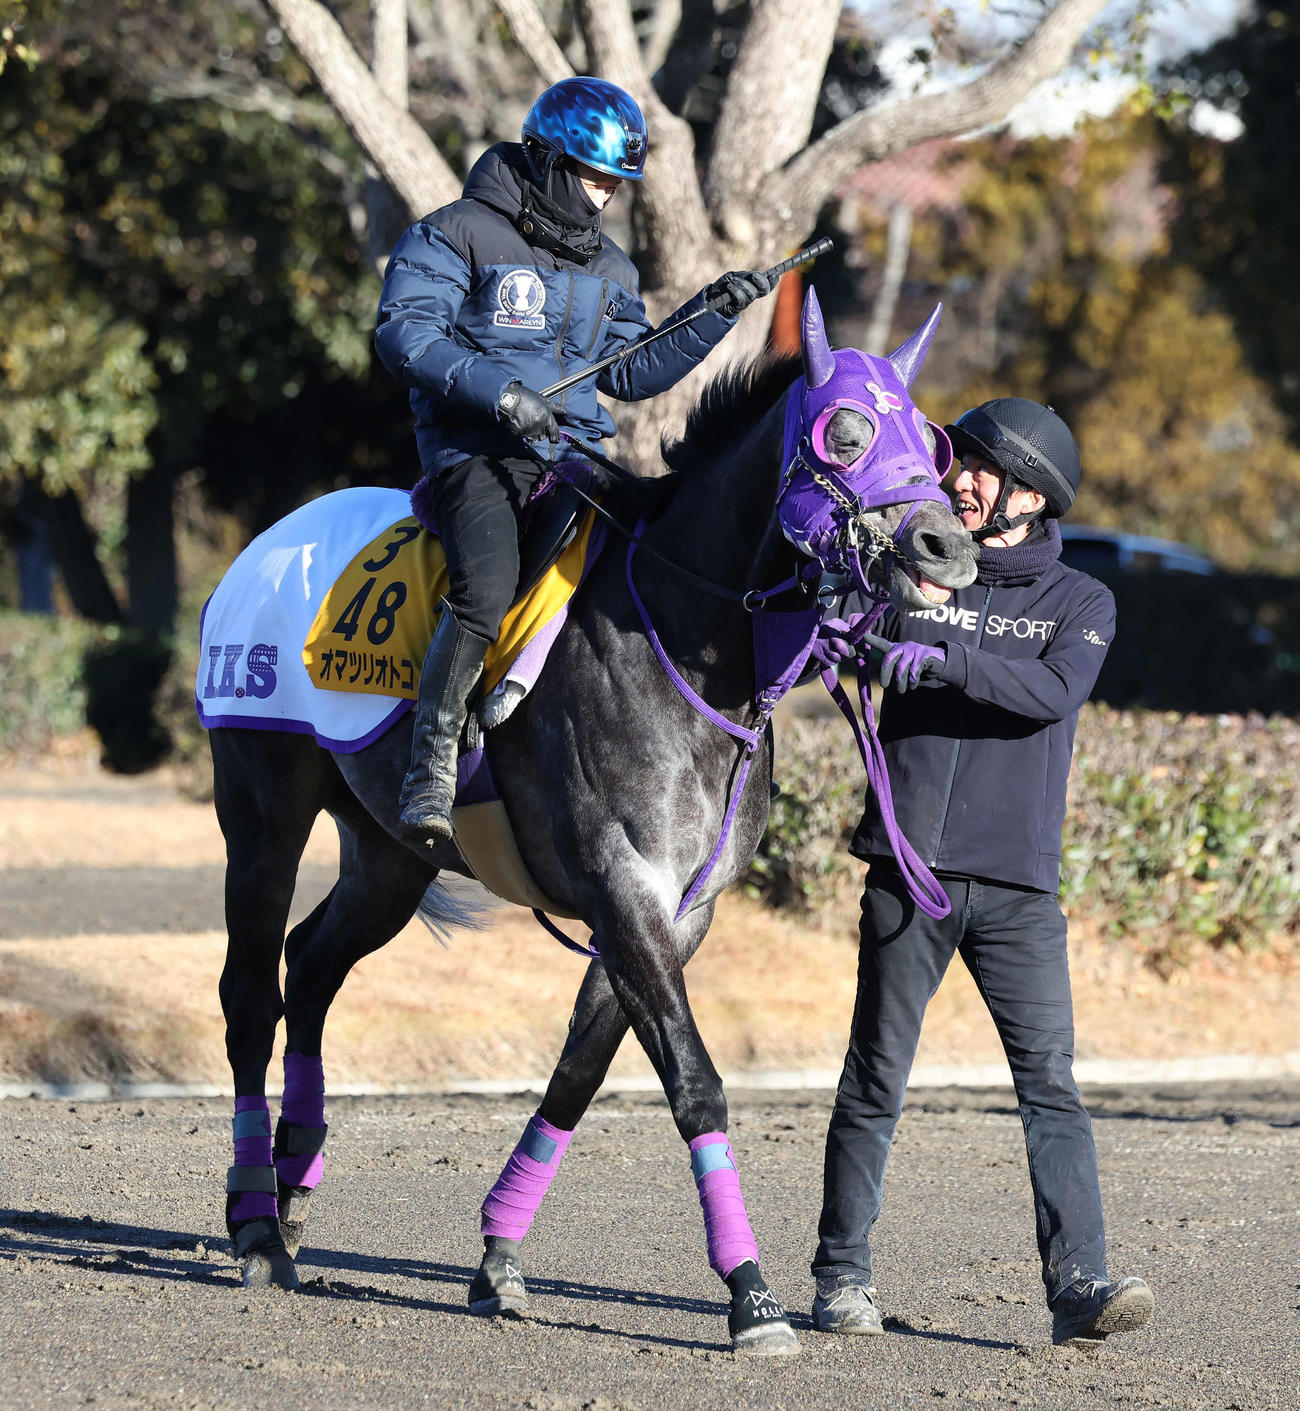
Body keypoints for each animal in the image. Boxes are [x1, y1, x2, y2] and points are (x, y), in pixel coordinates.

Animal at [206, 289, 978, 1355]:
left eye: (932, 441)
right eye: (848, 430)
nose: (950, 545)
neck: (685, 650)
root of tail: (257, 553)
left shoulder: (675, 913)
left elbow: (577, 1073)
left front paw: (498, 1255)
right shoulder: (625, 891)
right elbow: (693, 1078)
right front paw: (751, 1294)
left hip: (389, 858)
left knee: (311, 964)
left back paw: (293, 1191)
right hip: (263, 810)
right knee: (251, 992)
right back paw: (252, 1225)